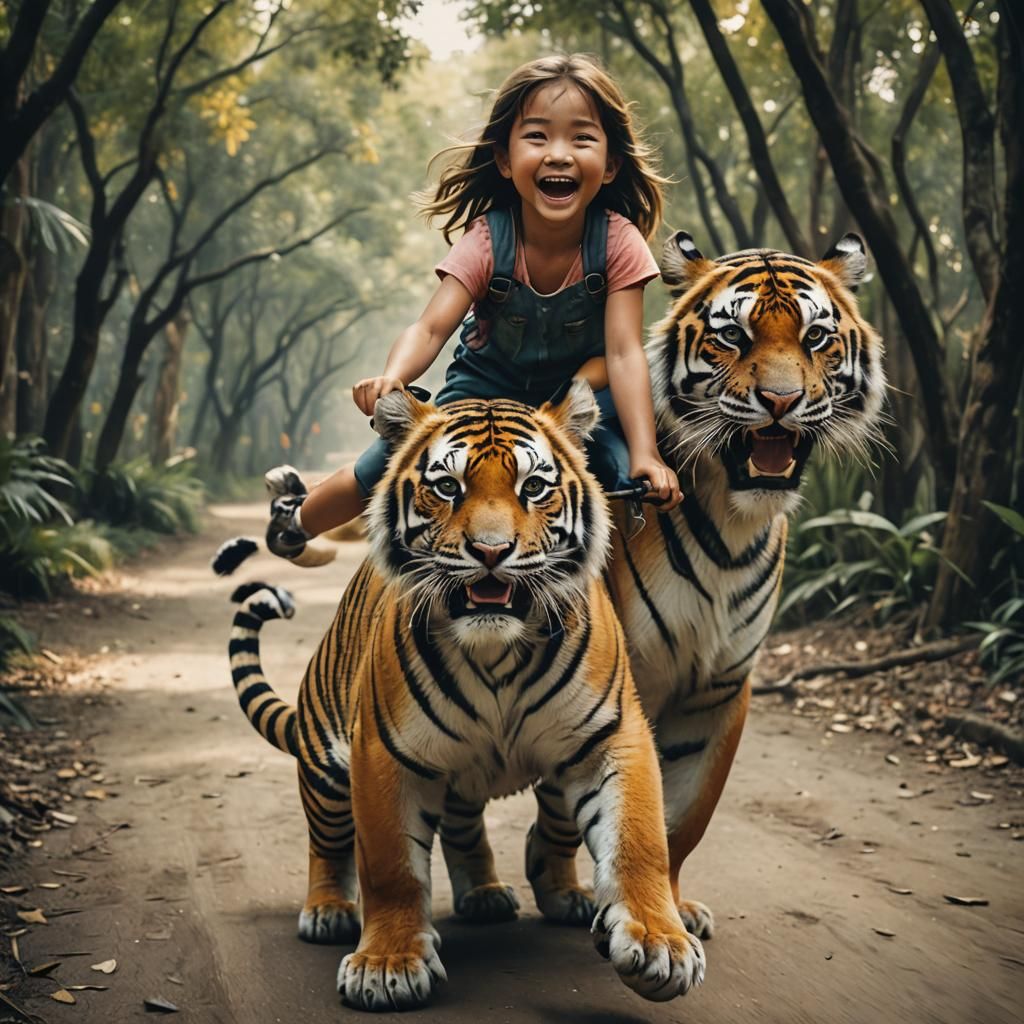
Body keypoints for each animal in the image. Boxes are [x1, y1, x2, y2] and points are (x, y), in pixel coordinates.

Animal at [225, 382, 705, 1011]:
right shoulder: (383, 752)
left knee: (462, 825)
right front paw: (387, 965)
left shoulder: (612, 736)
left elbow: (640, 840)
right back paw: (328, 911)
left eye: (534, 487)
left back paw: (487, 893)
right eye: (448, 486)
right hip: (329, 772)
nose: (492, 551)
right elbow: (391, 867)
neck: (498, 648)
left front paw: (659, 944)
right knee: (327, 845)